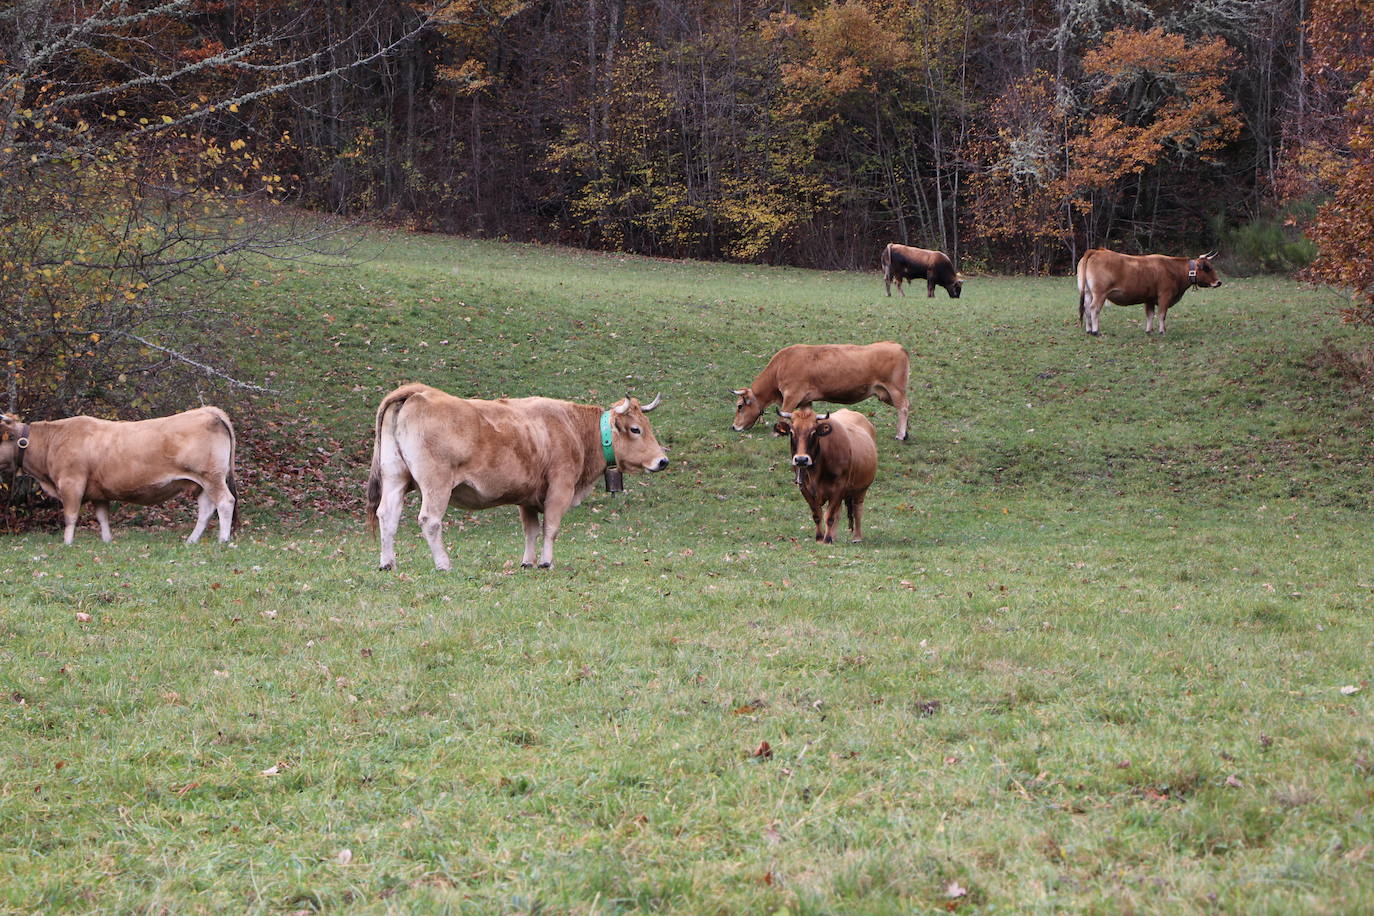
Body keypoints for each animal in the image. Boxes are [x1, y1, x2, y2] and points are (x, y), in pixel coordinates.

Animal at [0, 409, 241, 543]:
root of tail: (208, 411)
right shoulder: (98, 492)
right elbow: (102, 517)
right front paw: (107, 541)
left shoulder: (71, 483)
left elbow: (70, 516)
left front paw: (67, 543)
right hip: (202, 483)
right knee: (206, 509)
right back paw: (191, 540)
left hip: (211, 476)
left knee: (225, 502)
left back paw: (222, 539)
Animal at [362, 384, 667, 568]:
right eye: (636, 429)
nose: (662, 460)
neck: (572, 428)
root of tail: (419, 392)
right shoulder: (560, 488)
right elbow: (550, 528)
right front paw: (545, 562)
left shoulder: (527, 498)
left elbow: (530, 530)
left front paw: (527, 562)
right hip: (436, 484)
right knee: (430, 521)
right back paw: (443, 563)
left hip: (395, 479)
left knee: (387, 516)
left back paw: (387, 563)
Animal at [730, 343, 912, 444]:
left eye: (739, 406)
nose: (733, 427)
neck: (781, 365)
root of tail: (897, 346)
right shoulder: (805, 400)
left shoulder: (791, 395)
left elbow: (784, 413)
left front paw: (777, 432)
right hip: (885, 394)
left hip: (895, 390)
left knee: (903, 407)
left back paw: (901, 434)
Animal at [774, 409, 879, 543]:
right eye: (792, 432)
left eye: (813, 433)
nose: (801, 460)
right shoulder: (804, 489)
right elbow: (817, 515)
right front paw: (820, 537)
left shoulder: (839, 487)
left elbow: (829, 516)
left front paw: (827, 539)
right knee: (839, 512)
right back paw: (834, 536)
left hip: (861, 489)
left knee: (857, 509)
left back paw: (857, 537)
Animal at [1071, 247, 1225, 336]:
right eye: (1207, 268)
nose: (1219, 282)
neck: (1173, 269)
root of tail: (1097, 251)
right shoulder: (1164, 295)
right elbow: (1162, 314)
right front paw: (1162, 331)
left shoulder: (1149, 298)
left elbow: (1150, 315)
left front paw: (1149, 330)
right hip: (1100, 294)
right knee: (1094, 309)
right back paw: (1095, 331)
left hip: (1088, 292)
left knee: (1086, 308)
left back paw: (1089, 329)